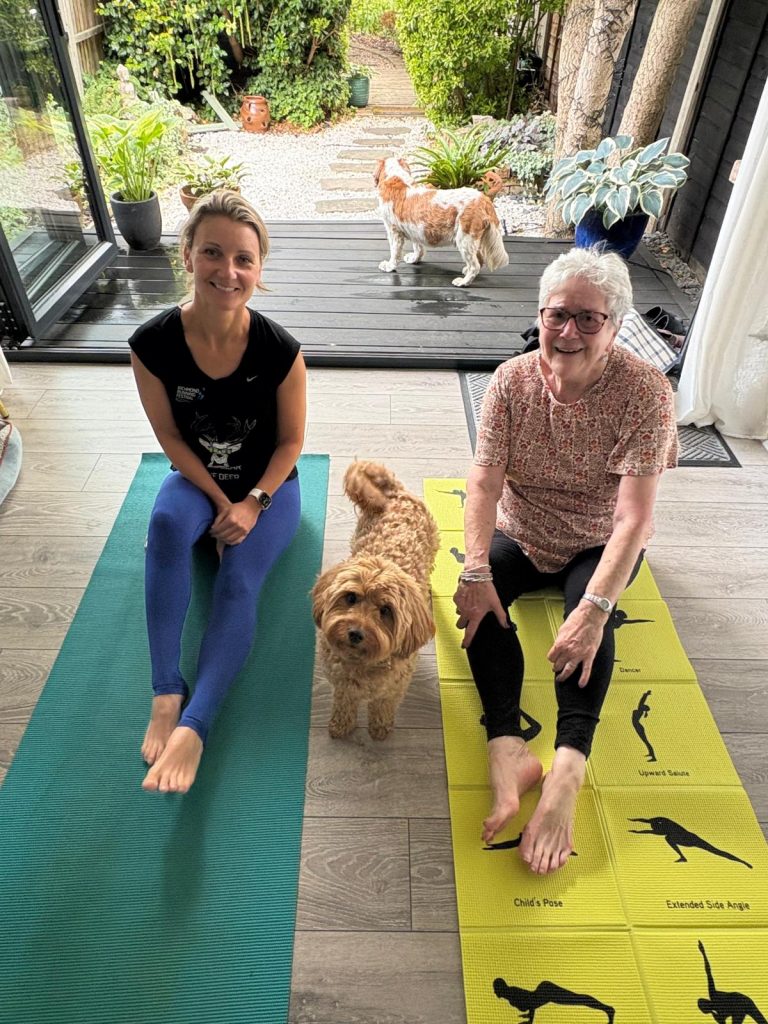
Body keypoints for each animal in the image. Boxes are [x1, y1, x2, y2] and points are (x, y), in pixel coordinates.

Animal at [312, 461, 440, 740]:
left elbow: (382, 705)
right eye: (351, 597)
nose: (355, 633)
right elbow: (344, 702)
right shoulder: (342, 684)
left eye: (385, 610)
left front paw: (379, 728)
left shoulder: (392, 688)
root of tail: (394, 492)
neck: (360, 661)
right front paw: (341, 725)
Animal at [374, 156, 509, 287]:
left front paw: (389, 266)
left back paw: (463, 282)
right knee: (479, 260)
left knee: (474, 266)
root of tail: (484, 199)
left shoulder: (393, 232)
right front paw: (414, 259)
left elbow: (395, 253)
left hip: (464, 239)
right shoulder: (415, 229)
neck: (397, 177)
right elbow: (418, 247)